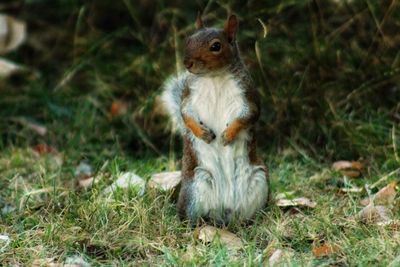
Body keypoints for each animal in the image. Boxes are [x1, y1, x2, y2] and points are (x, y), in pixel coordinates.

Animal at [161, 13, 270, 226]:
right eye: (189, 39)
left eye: (216, 46)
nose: (187, 63)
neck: (213, 77)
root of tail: (225, 212)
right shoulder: (188, 97)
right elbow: (186, 115)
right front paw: (203, 133)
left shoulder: (248, 96)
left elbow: (247, 116)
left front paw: (228, 134)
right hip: (195, 187)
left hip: (259, 179)